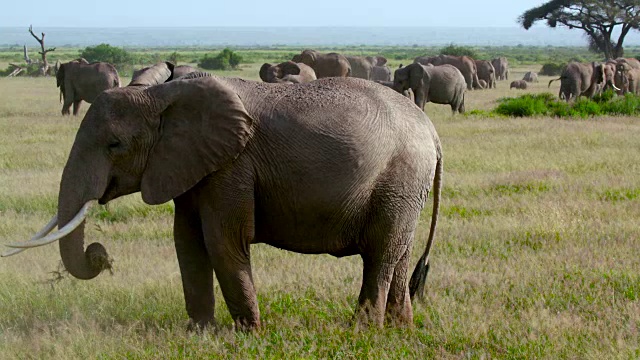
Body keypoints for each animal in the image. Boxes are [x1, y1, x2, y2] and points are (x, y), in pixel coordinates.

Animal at [5, 74, 442, 334]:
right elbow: (186, 243)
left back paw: (362, 332)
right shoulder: (189, 165)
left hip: (400, 177)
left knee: (381, 254)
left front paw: (249, 335)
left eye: (115, 145)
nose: (102, 256)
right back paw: (401, 329)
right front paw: (199, 333)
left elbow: (223, 241)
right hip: (405, 189)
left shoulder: (232, 164)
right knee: (398, 253)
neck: (160, 95)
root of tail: (432, 132)